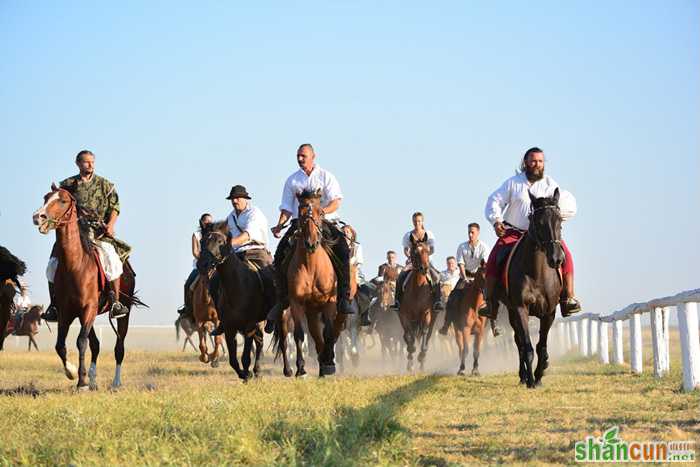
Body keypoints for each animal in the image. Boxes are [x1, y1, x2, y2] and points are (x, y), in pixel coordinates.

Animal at [32, 187, 141, 392]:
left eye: (63, 201)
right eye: (45, 198)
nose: (38, 217)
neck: (75, 266)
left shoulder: (88, 309)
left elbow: (81, 342)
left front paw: (81, 382)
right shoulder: (66, 313)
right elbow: (60, 345)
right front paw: (72, 372)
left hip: (123, 311)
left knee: (119, 347)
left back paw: (115, 383)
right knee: (95, 345)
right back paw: (92, 380)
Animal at [288, 189, 348, 376]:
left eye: (320, 212)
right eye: (300, 213)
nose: (311, 242)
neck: (311, 266)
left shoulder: (329, 302)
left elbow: (328, 332)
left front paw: (329, 363)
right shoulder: (297, 303)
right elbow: (300, 334)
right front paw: (301, 369)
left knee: (334, 329)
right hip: (311, 310)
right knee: (315, 333)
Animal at [400, 238, 438, 372]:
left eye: (427, 250)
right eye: (415, 252)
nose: (424, 268)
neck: (418, 288)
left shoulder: (426, 313)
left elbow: (424, 332)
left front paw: (421, 356)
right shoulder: (405, 315)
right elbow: (409, 335)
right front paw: (411, 356)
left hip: (433, 317)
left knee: (427, 334)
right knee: (407, 335)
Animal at [494, 188, 568, 390]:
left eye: (560, 221)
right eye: (539, 222)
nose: (556, 259)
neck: (537, 274)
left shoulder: (549, 312)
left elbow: (541, 346)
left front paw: (540, 374)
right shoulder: (521, 309)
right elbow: (526, 346)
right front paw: (531, 380)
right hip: (511, 312)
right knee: (519, 343)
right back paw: (523, 376)